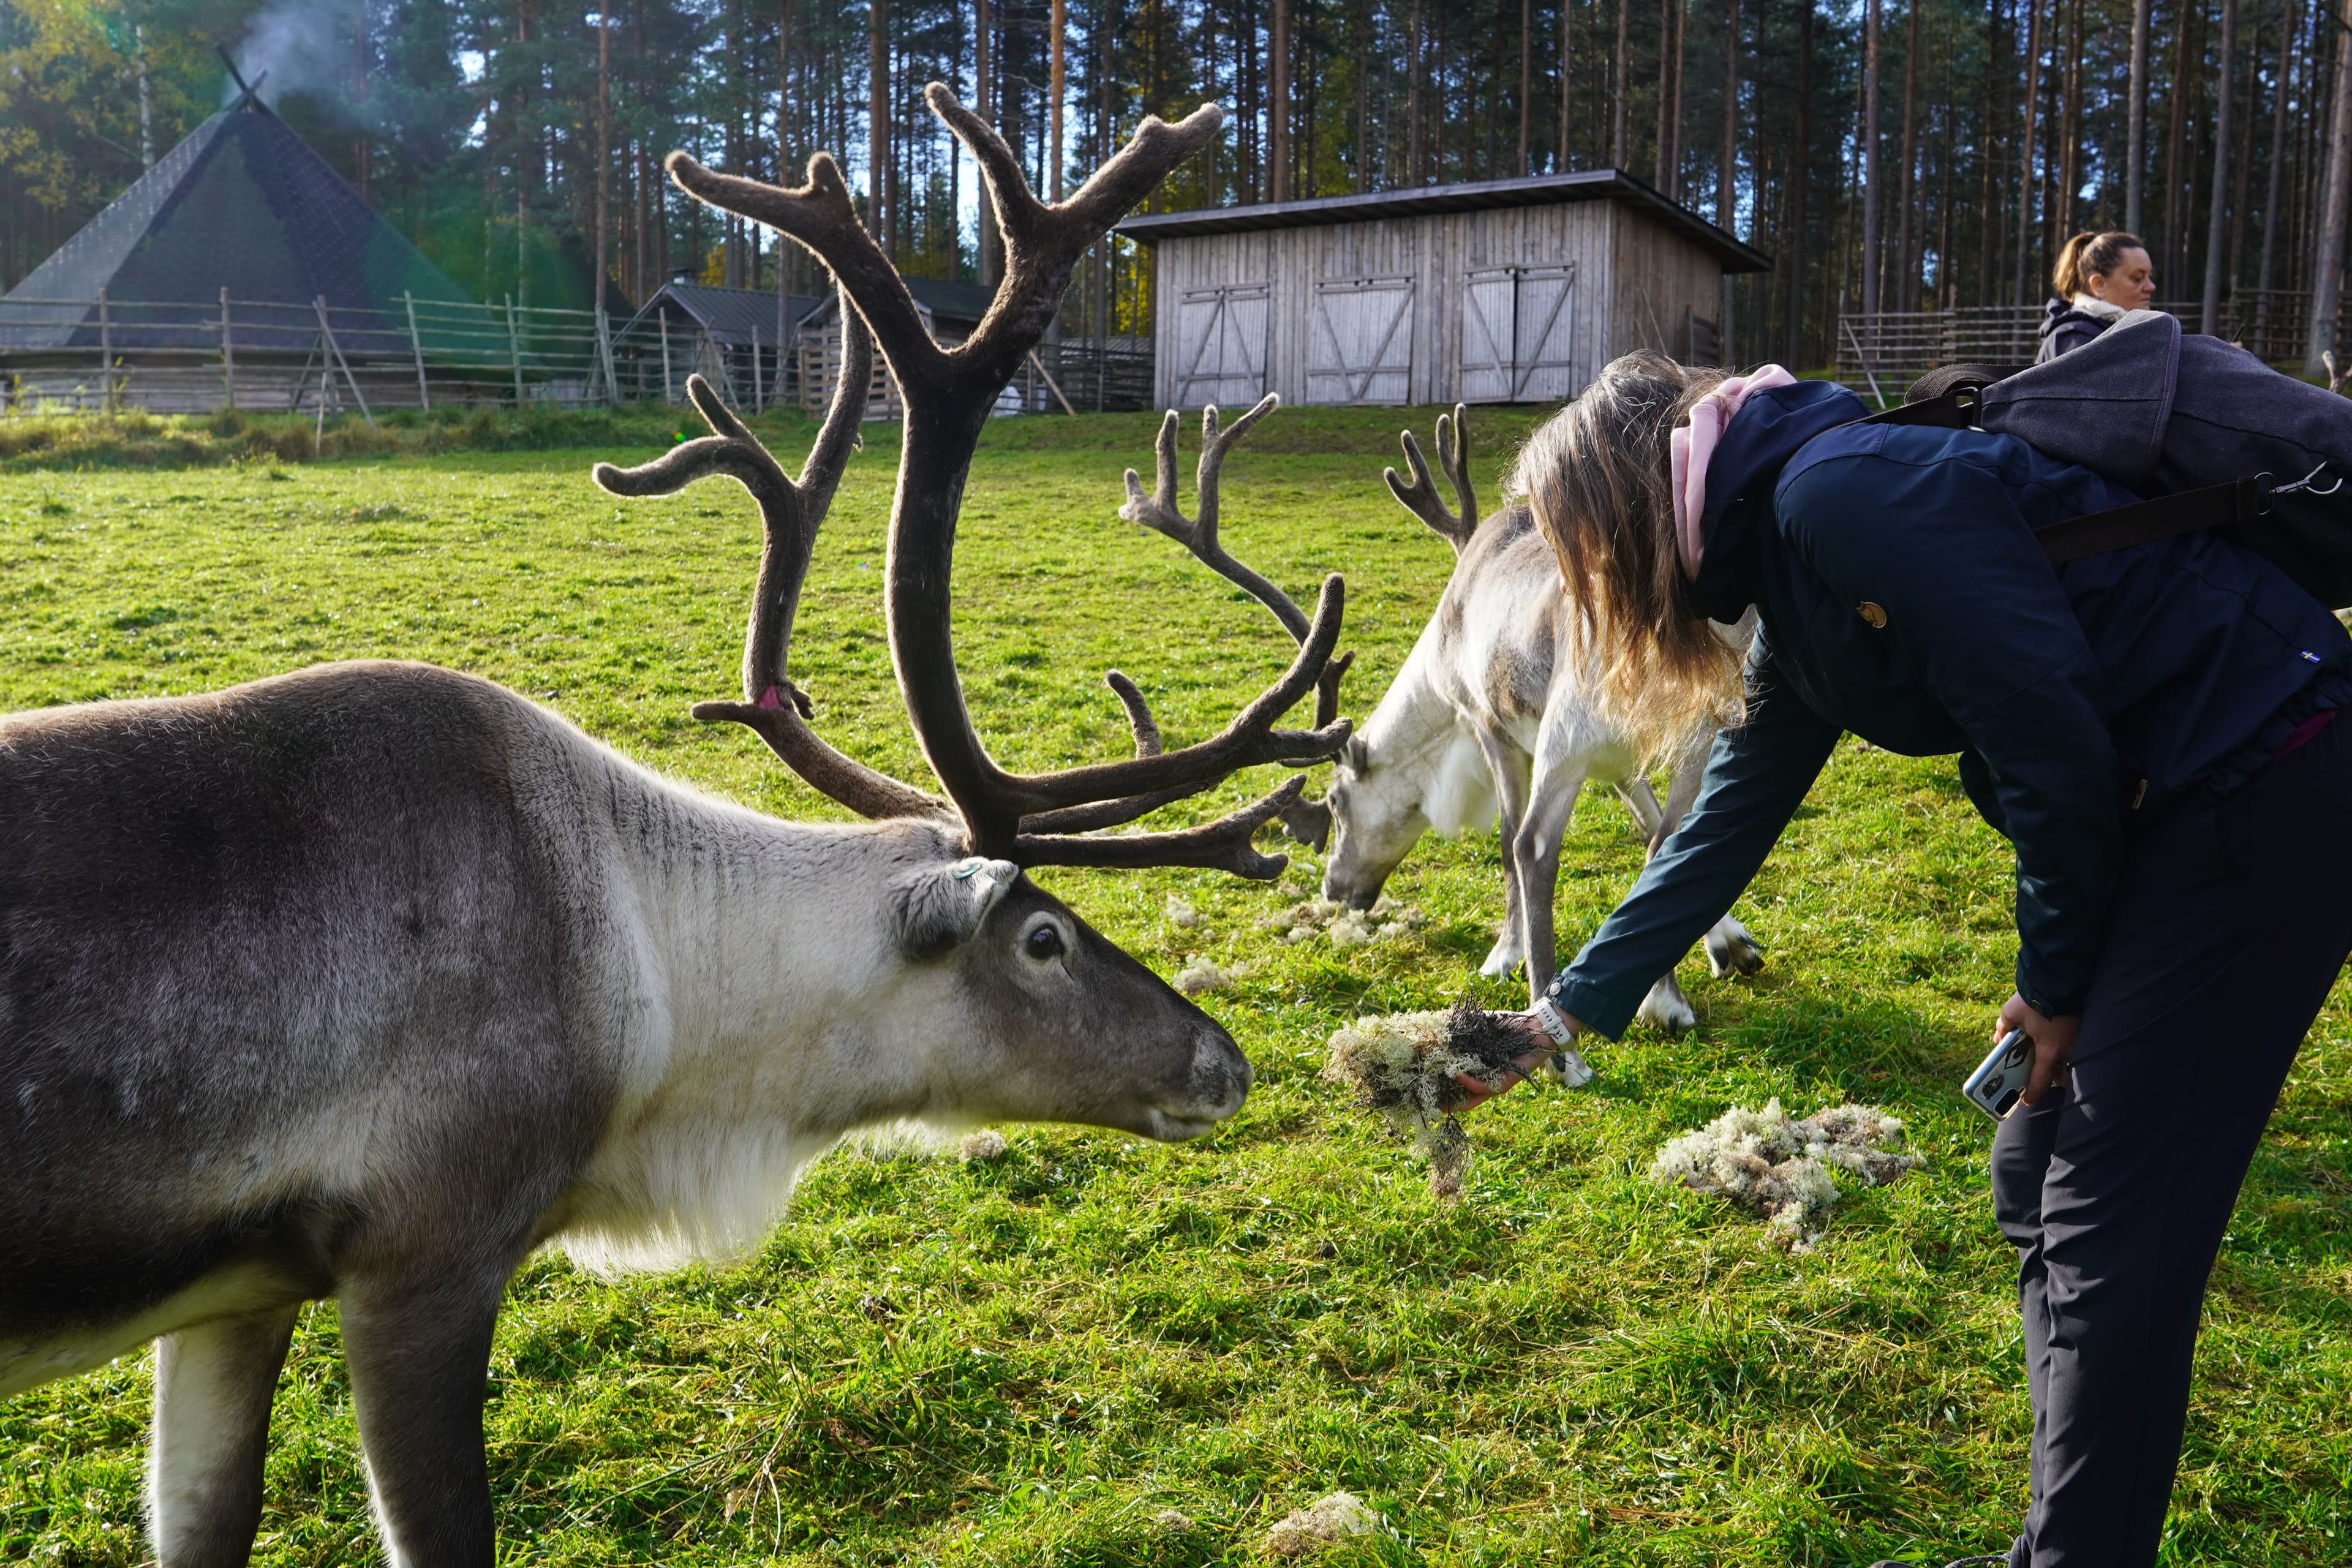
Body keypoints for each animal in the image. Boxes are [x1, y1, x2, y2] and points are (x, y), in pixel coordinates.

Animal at [0, 91, 1353, 1568]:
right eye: (1043, 936)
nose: (1226, 1062)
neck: (655, 994)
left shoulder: (235, 1287)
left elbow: (204, 1519)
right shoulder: (425, 1247)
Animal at [1316, 405, 1763, 1033]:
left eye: (1335, 801)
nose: (1335, 887)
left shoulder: (1489, 725)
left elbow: (1506, 841)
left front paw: (1504, 953)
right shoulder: (1624, 760)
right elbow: (1657, 829)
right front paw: (1731, 942)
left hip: (1570, 729)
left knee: (1533, 843)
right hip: (1704, 724)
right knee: (1669, 836)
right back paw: (1668, 1000)